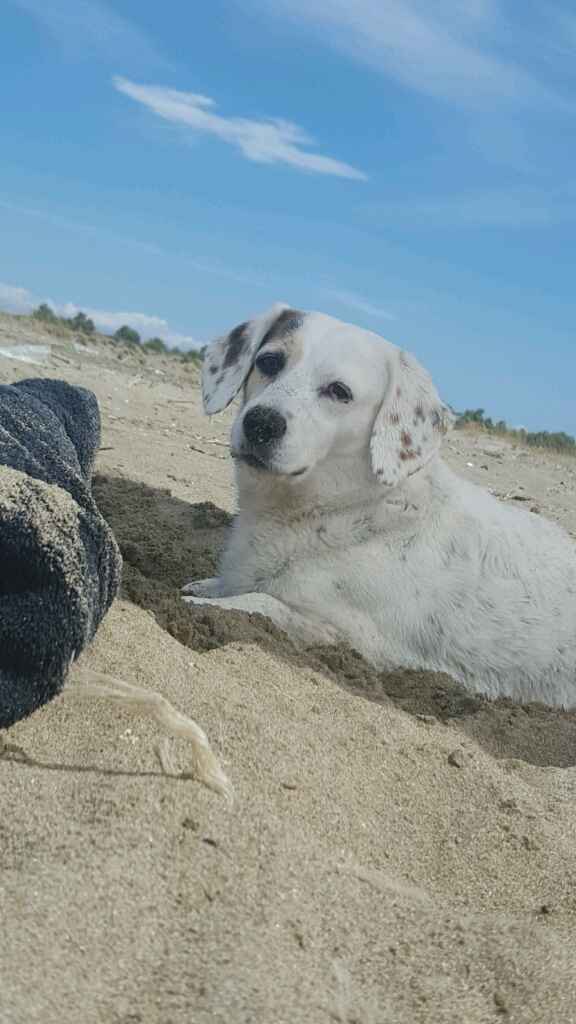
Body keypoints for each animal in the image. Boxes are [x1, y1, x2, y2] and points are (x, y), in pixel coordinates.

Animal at [182, 299, 573, 708]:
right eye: (269, 361)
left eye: (339, 391)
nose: (261, 423)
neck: (347, 508)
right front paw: (206, 587)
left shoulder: (349, 636)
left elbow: (262, 604)